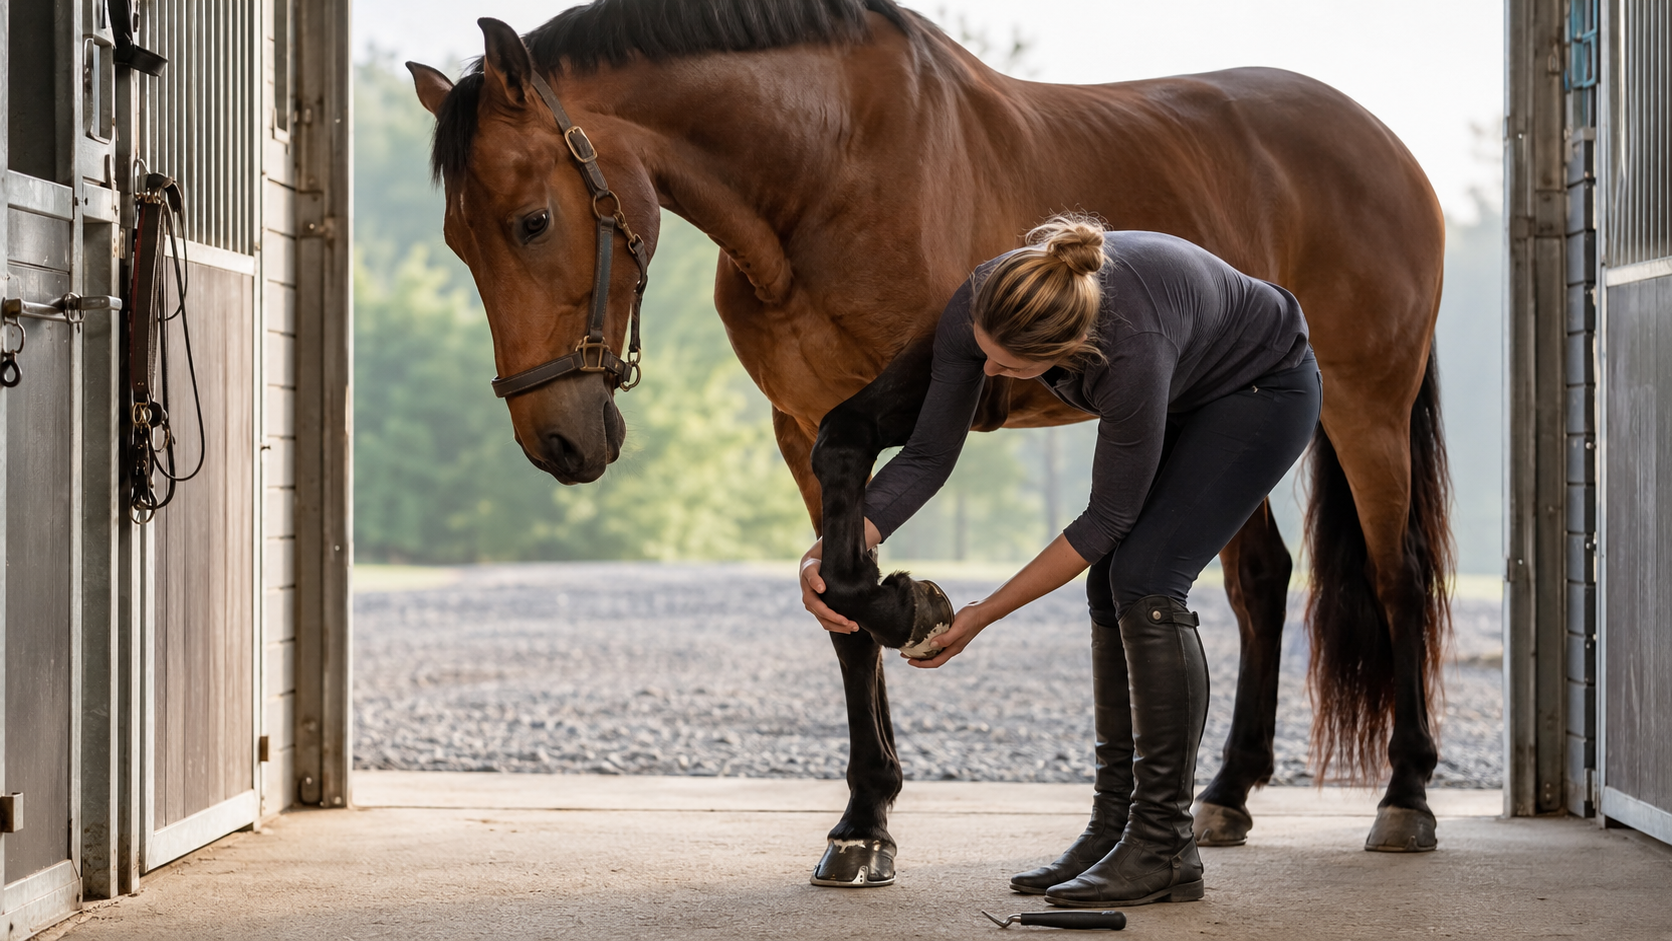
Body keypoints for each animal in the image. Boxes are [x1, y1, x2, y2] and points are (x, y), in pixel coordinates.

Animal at [407, 0, 1452, 882]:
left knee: (1397, 575)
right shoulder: (795, 423)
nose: (557, 440)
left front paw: (914, 607)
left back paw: (1405, 796)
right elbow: (838, 596)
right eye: (459, 243)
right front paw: (864, 820)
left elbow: (852, 548)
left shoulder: (939, 386)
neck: (827, 163)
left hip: (1365, 404)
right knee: (1260, 579)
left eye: (533, 221)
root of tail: (1388, 150)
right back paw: (1227, 793)